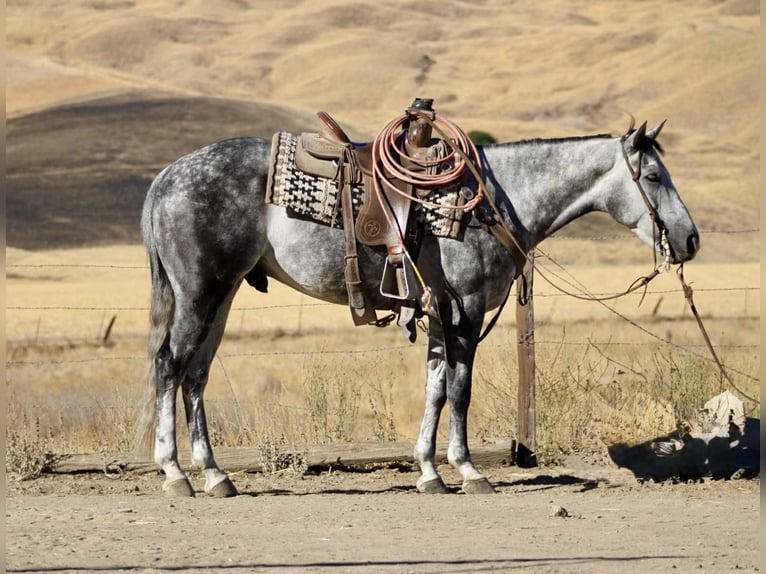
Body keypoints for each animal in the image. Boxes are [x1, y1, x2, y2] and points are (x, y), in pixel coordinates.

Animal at [136, 119, 699, 497]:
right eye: (653, 176)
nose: (690, 239)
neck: (493, 201)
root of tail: (166, 176)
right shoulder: (467, 309)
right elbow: (460, 390)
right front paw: (469, 471)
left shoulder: (437, 314)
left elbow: (434, 389)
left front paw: (429, 471)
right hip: (201, 292)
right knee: (170, 364)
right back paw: (175, 473)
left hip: (222, 294)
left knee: (196, 374)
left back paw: (216, 475)